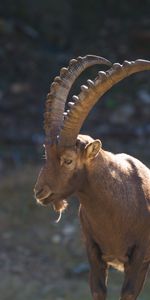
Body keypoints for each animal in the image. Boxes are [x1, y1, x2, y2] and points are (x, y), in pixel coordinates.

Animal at [34, 55, 150, 298]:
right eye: (46, 153)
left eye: (68, 160)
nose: (39, 191)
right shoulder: (93, 252)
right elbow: (98, 290)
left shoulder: (140, 256)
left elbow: (128, 292)